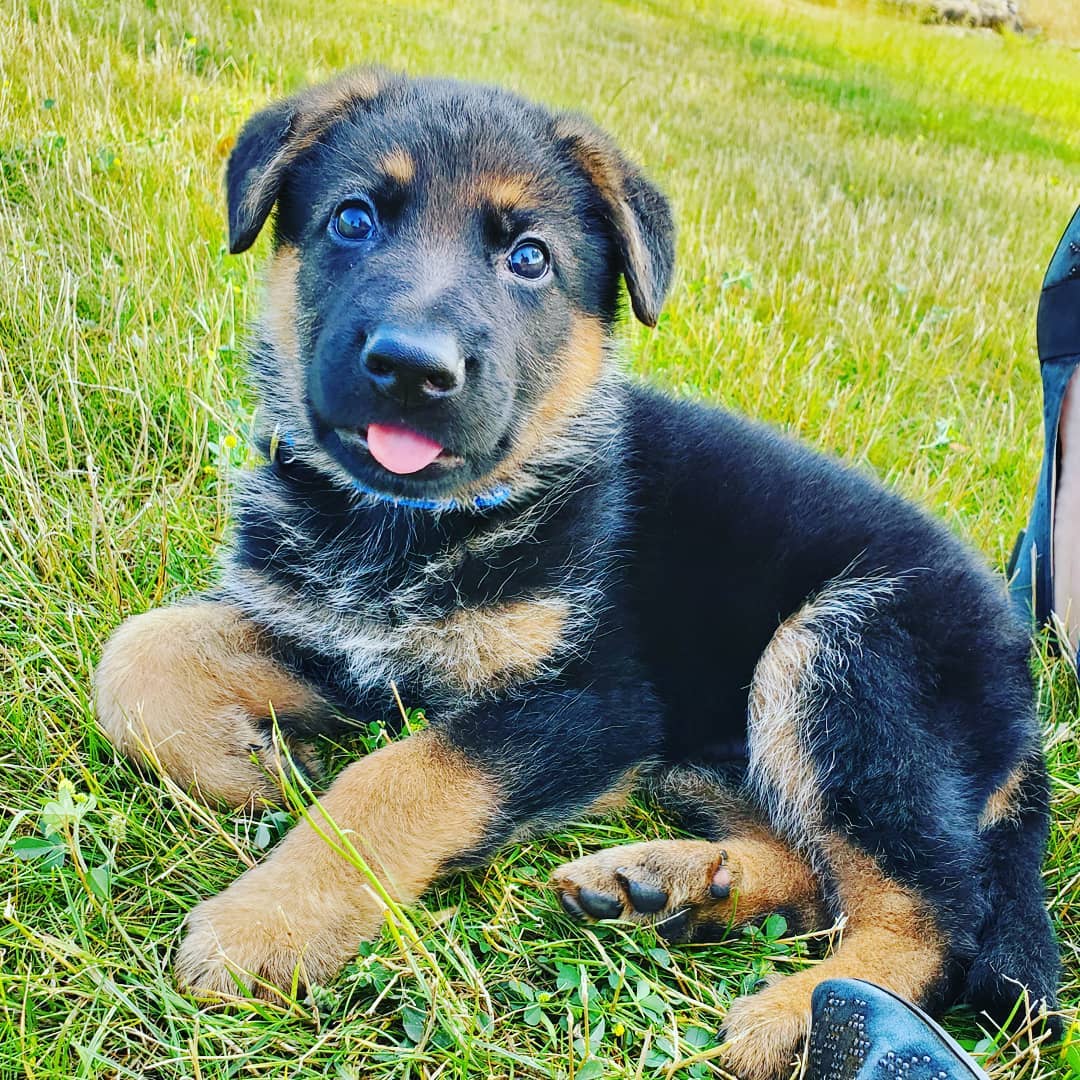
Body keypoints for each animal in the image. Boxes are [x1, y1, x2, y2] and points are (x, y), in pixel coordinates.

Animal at [97, 69, 1058, 1080]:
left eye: (529, 259)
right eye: (352, 220)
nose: (411, 369)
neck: (410, 527)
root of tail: (1020, 681)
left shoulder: (590, 702)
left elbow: (397, 781)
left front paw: (268, 922)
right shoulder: (334, 639)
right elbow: (139, 652)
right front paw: (253, 764)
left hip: (842, 655)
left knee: (937, 914)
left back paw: (808, 1015)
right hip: (712, 750)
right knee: (818, 878)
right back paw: (677, 887)